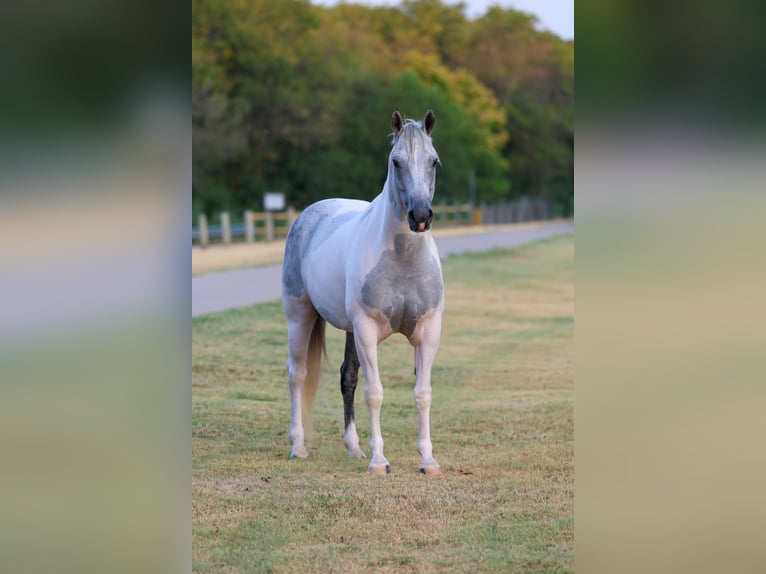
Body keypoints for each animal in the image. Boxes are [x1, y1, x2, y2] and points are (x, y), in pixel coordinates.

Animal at [281, 109, 444, 475]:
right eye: (396, 161)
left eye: (434, 161)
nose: (420, 216)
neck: (403, 261)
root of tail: (309, 215)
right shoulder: (367, 331)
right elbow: (375, 393)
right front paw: (379, 460)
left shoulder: (428, 333)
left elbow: (423, 393)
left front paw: (428, 460)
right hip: (300, 316)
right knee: (297, 374)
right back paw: (298, 446)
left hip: (348, 330)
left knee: (347, 378)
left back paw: (353, 447)